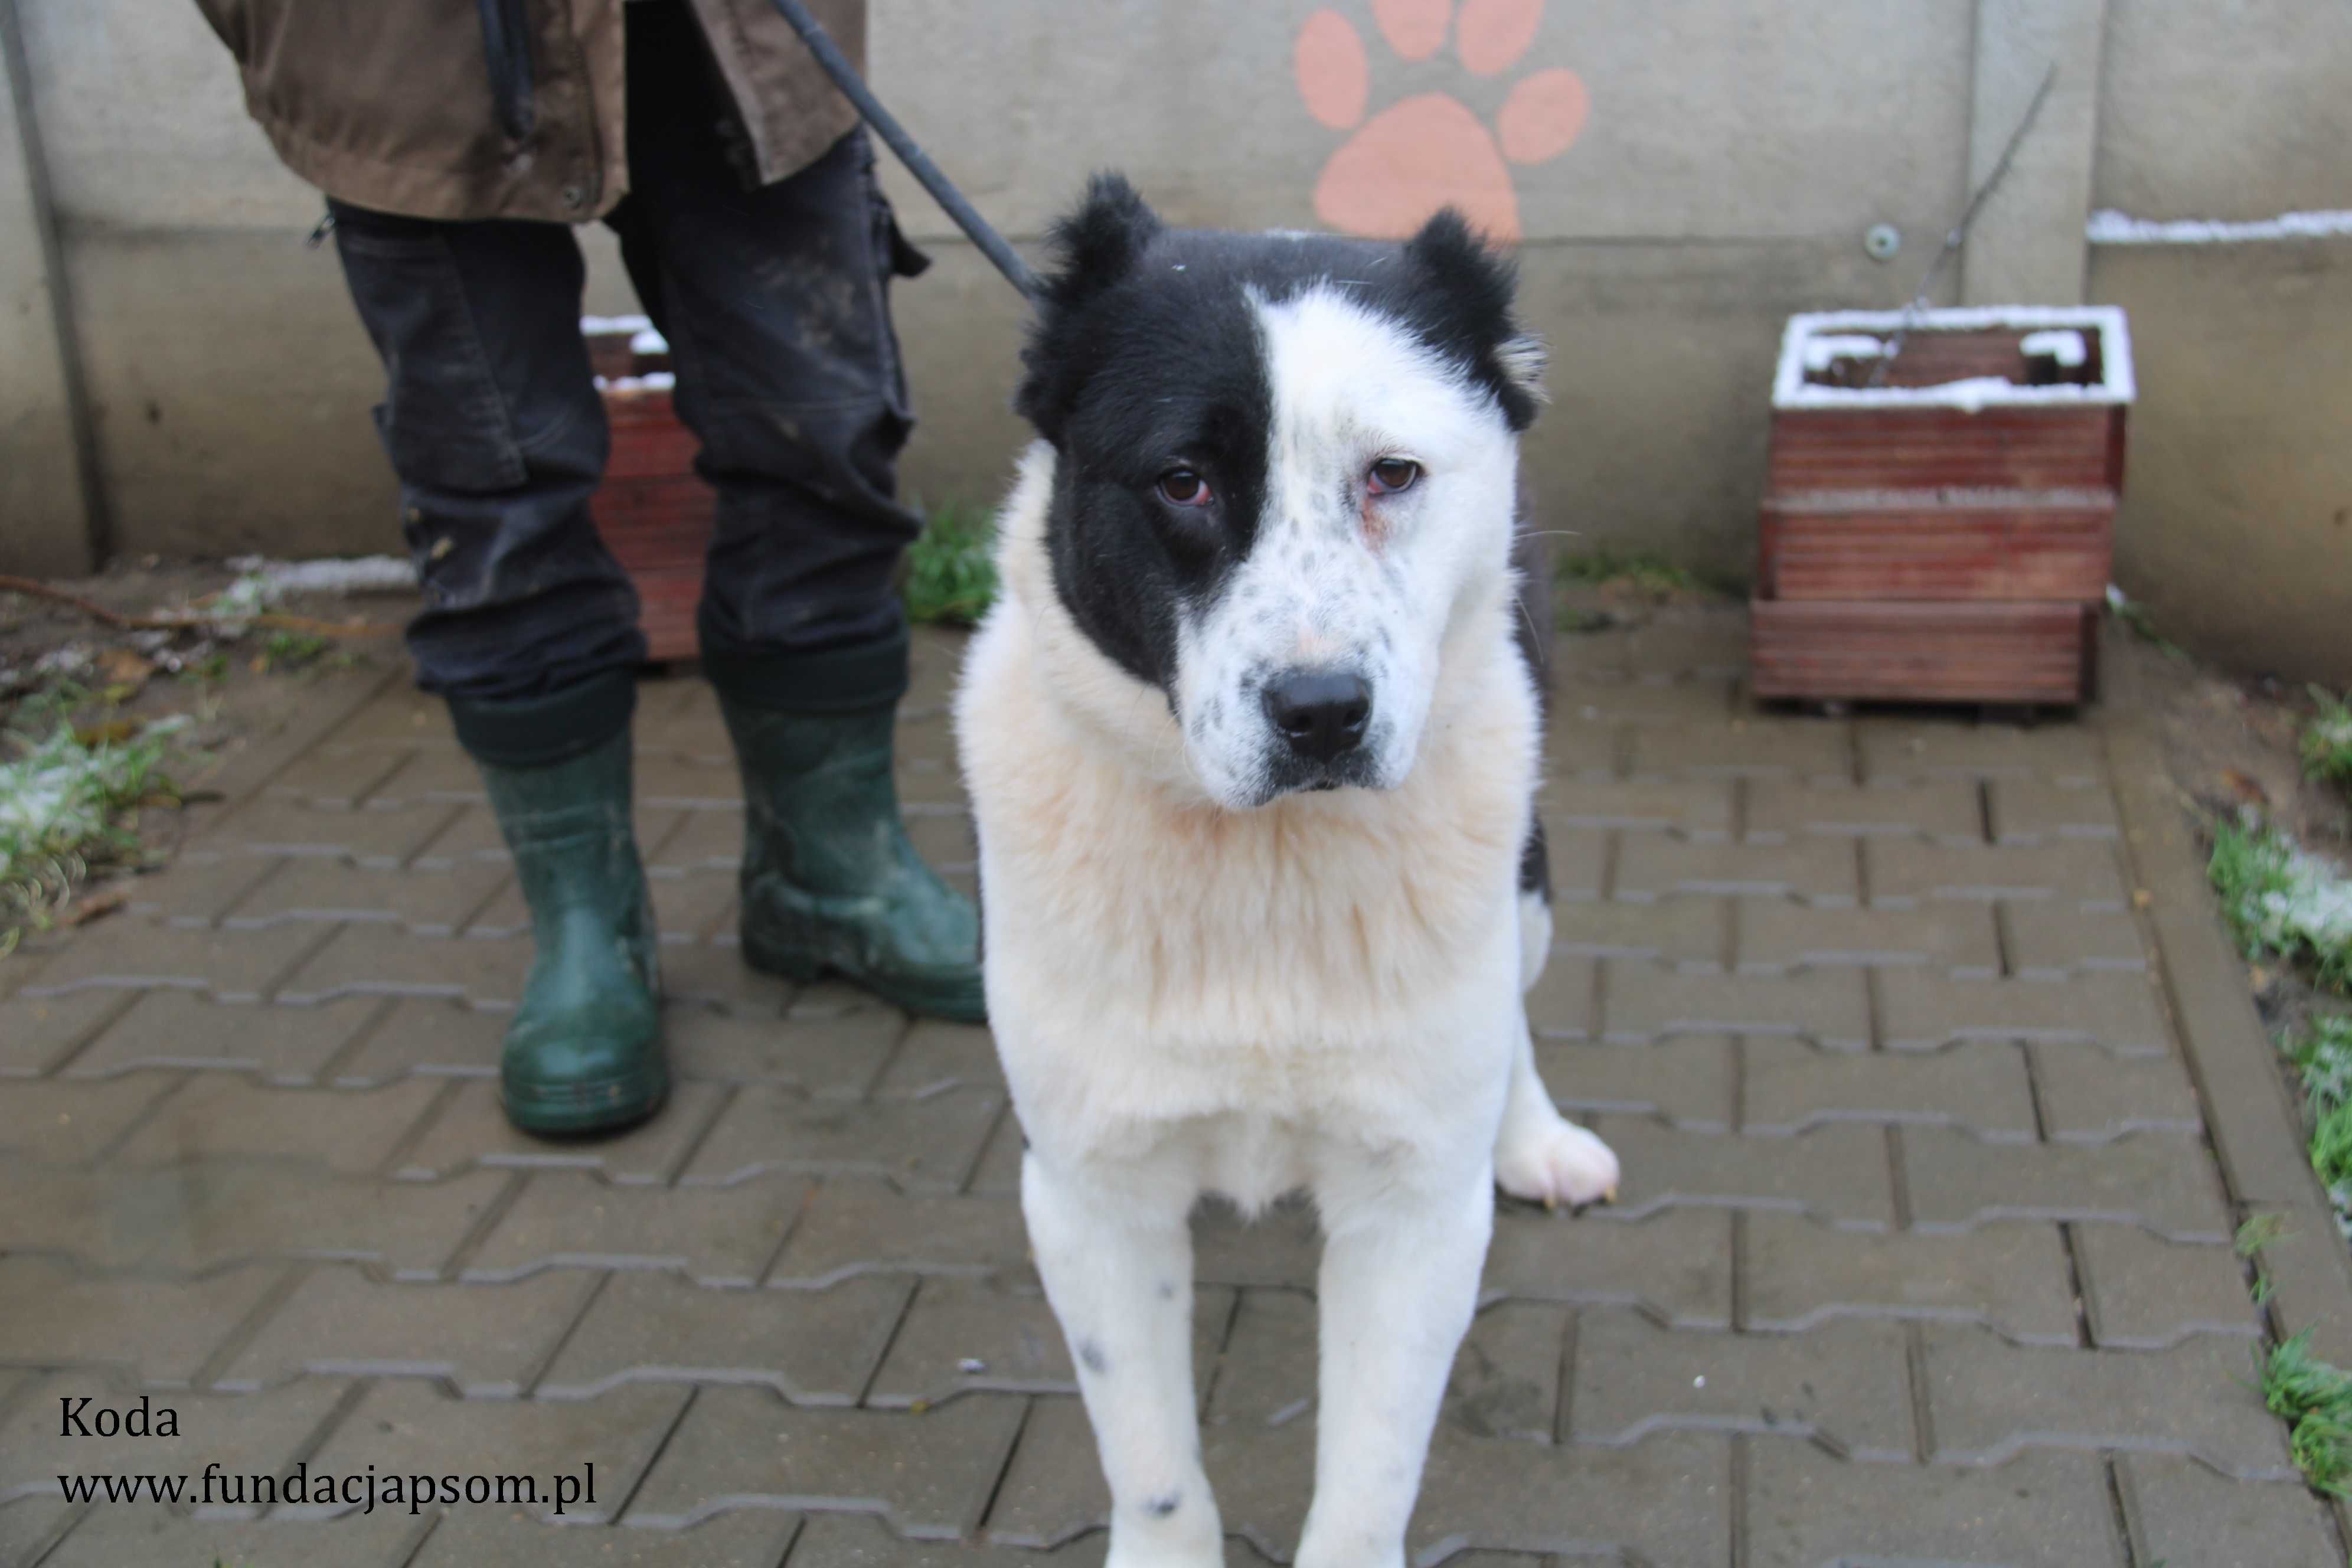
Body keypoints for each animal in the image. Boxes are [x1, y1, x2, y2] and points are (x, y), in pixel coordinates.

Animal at [955, 177, 1618, 1561]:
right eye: (1184, 479)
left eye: (1394, 473)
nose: (1321, 714)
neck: (1259, 872)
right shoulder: (1089, 1191)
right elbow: (1152, 1460)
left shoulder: (1413, 1209)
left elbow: (1368, 1476)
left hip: (1523, 885)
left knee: (1515, 1014)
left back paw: (1534, 1137)